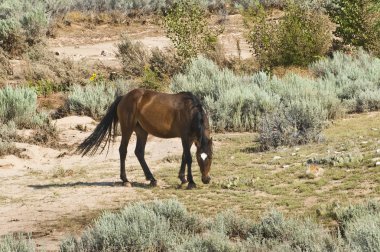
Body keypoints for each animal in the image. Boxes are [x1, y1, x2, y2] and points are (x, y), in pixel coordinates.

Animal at [76, 88, 214, 189]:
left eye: (211, 156)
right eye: (199, 158)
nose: (206, 179)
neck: (190, 111)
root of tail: (124, 97)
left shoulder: (191, 139)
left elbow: (184, 156)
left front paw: (182, 178)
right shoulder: (185, 137)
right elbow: (188, 158)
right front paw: (191, 182)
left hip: (142, 131)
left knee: (139, 152)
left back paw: (152, 179)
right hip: (127, 128)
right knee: (123, 150)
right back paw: (126, 180)